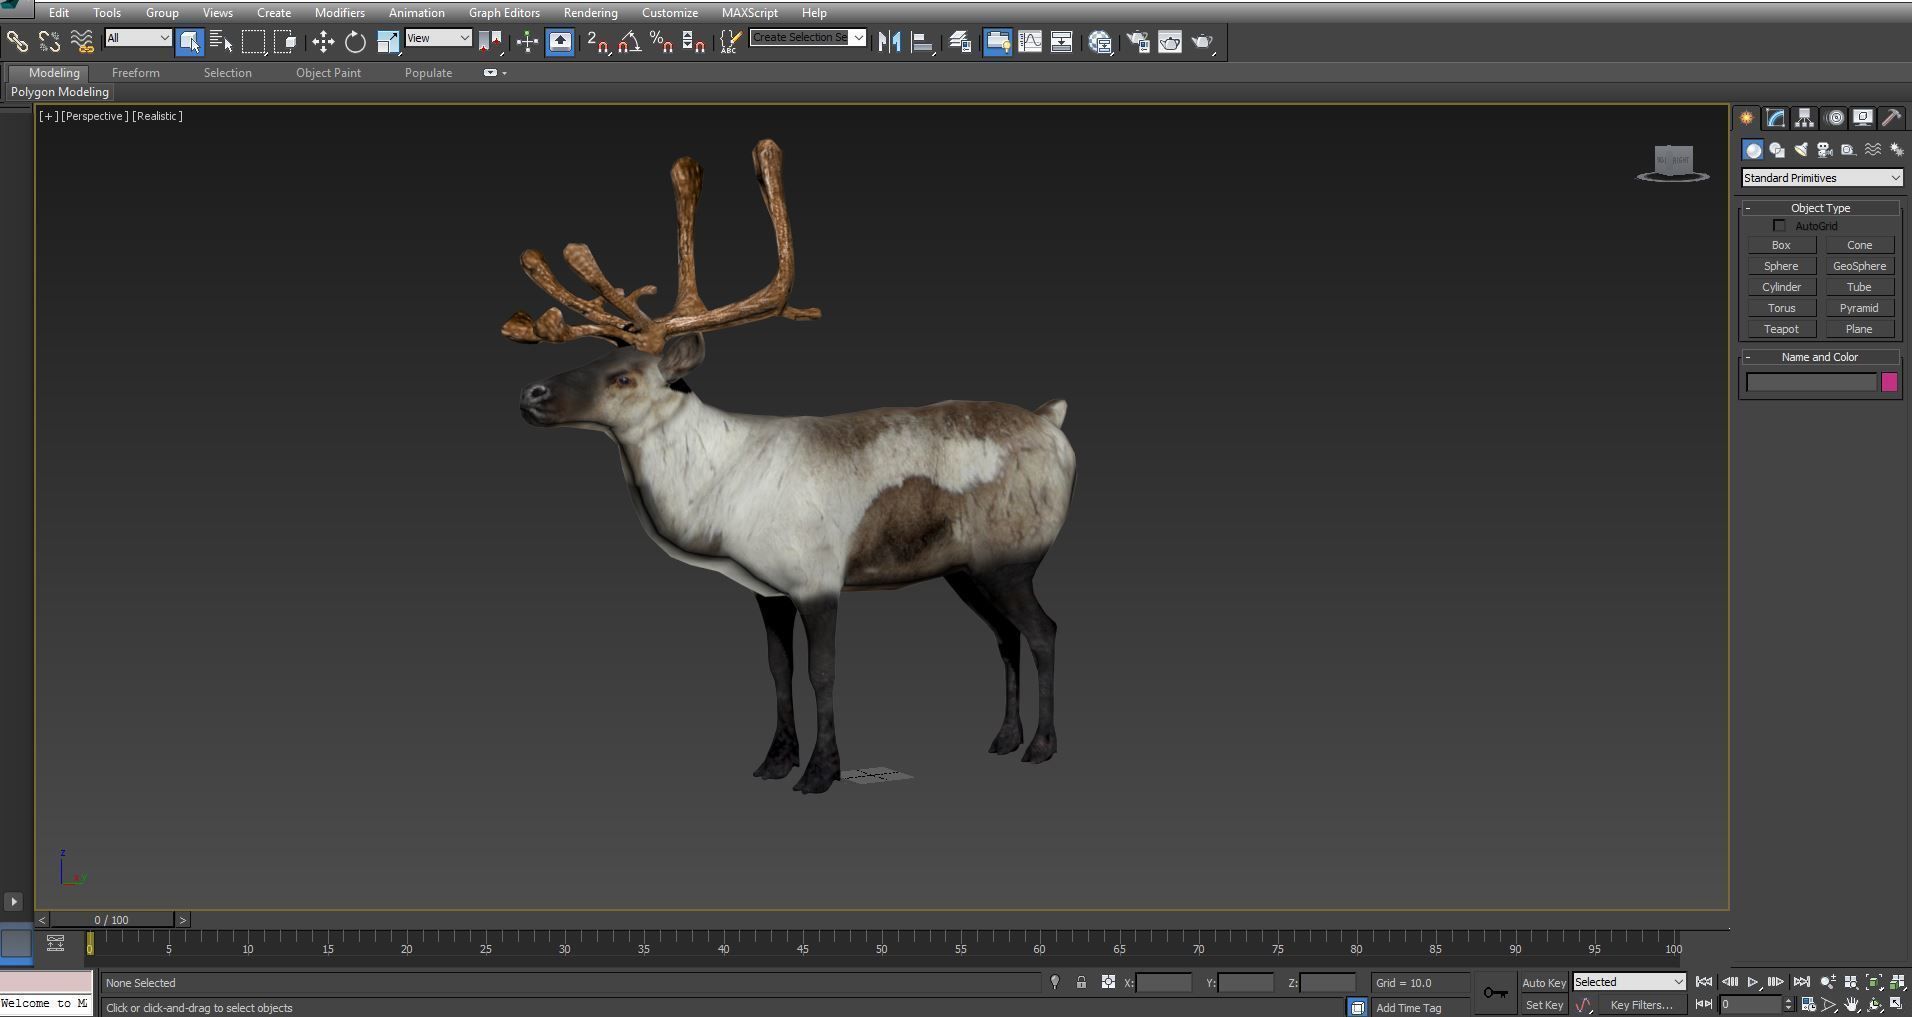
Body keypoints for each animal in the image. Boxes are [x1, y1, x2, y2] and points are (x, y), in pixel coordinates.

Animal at [504, 140, 1076, 795]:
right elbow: (777, 673)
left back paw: (1041, 746)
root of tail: (1053, 421)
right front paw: (775, 761)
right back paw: (1004, 739)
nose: (532, 394)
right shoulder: (767, 591)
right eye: (596, 359)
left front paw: (821, 772)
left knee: (1043, 632)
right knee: (1006, 636)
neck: (716, 491)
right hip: (966, 570)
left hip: (1012, 561)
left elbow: (820, 674)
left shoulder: (817, 580)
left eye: (623, 376)